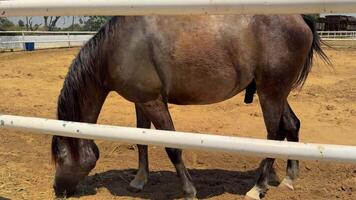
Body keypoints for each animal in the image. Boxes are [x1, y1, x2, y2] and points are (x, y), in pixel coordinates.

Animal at [51, 14, 330, 199]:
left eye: (62, 157)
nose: (58, 190)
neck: (119, 46)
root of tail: (301, 20)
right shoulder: (142, 102)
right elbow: (141, 140)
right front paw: (139, 181)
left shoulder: (154, 102)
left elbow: (172, 147)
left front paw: (189, 191)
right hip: (276, 93)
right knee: (291, 126)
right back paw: (289, 179)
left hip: (271, 93)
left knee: (274, 134)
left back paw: (258, 187)